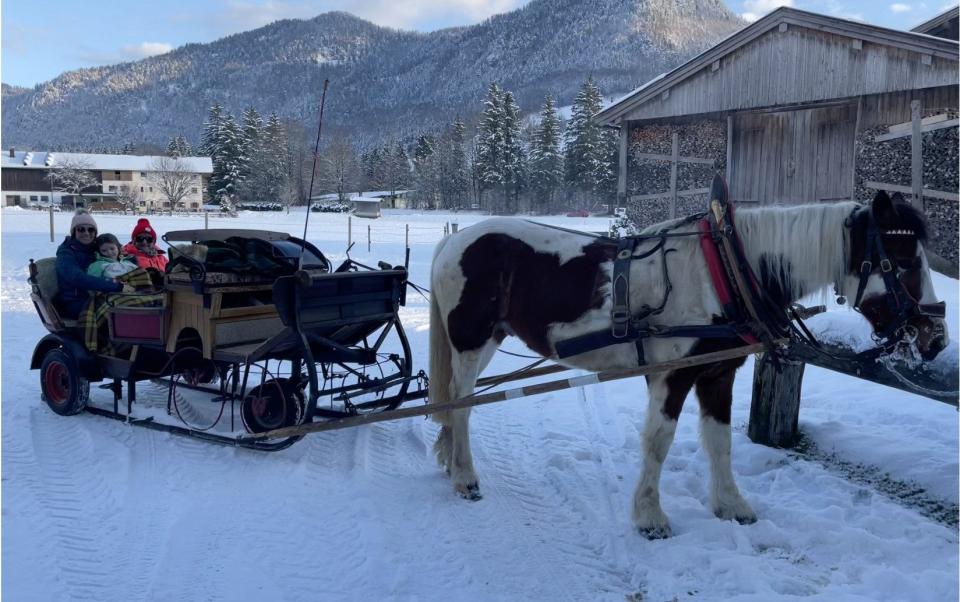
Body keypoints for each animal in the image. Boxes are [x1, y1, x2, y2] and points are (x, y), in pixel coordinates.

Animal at [426, 188, 944, 536]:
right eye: (903, 261)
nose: (936, 337)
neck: (725, 272)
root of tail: (455, 240)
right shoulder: (671, 376)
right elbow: (658, 442)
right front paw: (650, 515)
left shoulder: (718, 374)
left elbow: (719, 443)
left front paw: (731, 505)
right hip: (470, 341)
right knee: (461, 404)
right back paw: (465, 476)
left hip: (489, 338)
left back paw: (452, 465)